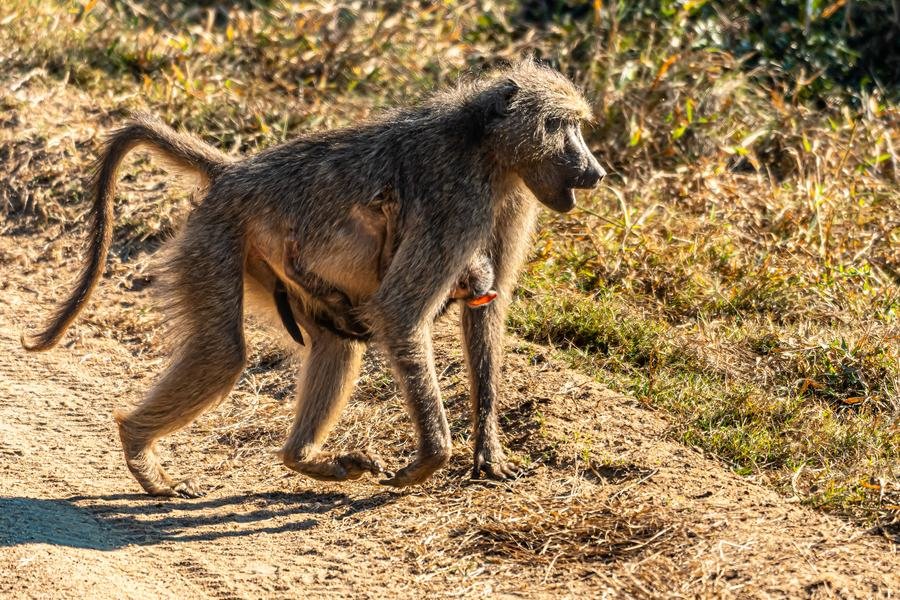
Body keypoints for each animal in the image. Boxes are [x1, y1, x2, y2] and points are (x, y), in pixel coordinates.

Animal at [23, 59, 605, 497]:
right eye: (560, 126)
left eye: (576, 125)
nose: (595, 172)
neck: (485, 146)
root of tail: (233, 171)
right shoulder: (458, 202)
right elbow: (400, 309)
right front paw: (430, 459)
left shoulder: (514, 201)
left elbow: (487, 309)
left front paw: (488, 450)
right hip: (216, 240)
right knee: (223, 352)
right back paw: (141, 451)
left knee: (334, 343)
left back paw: (303, 458)